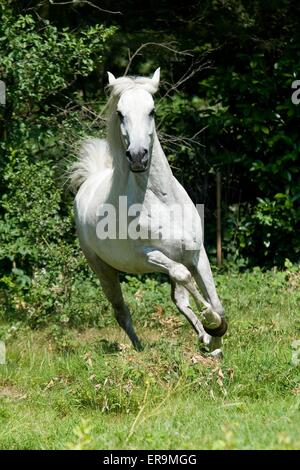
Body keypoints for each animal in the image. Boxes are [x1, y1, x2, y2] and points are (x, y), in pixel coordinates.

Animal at [70, 69, 227, 356]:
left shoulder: (196, 253)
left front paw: (216, 339)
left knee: (179, 300)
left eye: (152, 111)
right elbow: (183, 275)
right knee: (121, 311)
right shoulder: (149, 256)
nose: (138, 157)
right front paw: (213, 327)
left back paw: (204, 338)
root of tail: (90, 180)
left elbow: (214, 300)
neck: (163, 202)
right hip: (102, 270)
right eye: (120, 113)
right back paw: (140, 349)